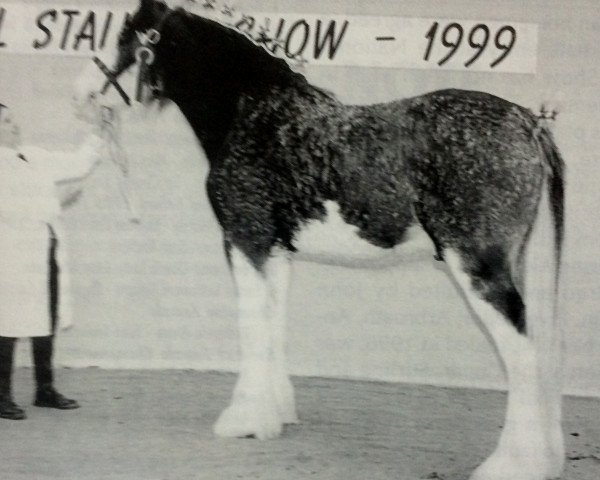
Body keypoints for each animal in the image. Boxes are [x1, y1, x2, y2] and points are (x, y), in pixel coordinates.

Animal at [76, 1, 568, 478]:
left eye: (130, 36)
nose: (87, 95)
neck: (252, 113)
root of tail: (529, 123)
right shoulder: (275, 252)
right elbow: (272, 326)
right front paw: (273, 414)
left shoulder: (244, 241)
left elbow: (251, 328)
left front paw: (243, 420)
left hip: (477, 267)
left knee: (522, 353)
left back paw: (512, 465)